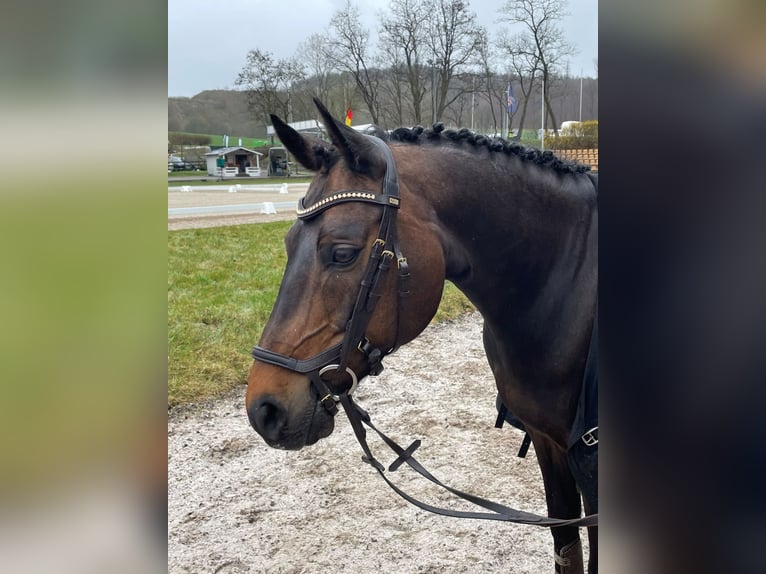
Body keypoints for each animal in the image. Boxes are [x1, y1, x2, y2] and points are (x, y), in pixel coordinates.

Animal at [245, 99, 598, 573]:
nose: (263, 410)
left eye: (343, 253)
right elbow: (566, 547)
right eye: (286, 243)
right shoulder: (548, 443)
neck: (562, 291)